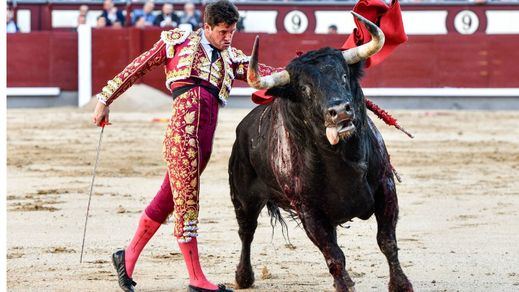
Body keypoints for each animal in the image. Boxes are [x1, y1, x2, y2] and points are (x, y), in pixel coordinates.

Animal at [230, 12, 416, 292]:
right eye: (304, 88)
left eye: (343, 76)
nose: (339, 111)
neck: (342, 158)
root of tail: (243, 127)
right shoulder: (309, 209)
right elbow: (334, 255)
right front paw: (345, 286)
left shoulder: (385, 186)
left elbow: (386, 241)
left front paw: (401, 285)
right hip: (243, 197)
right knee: (246, 232)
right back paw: (244, 277)